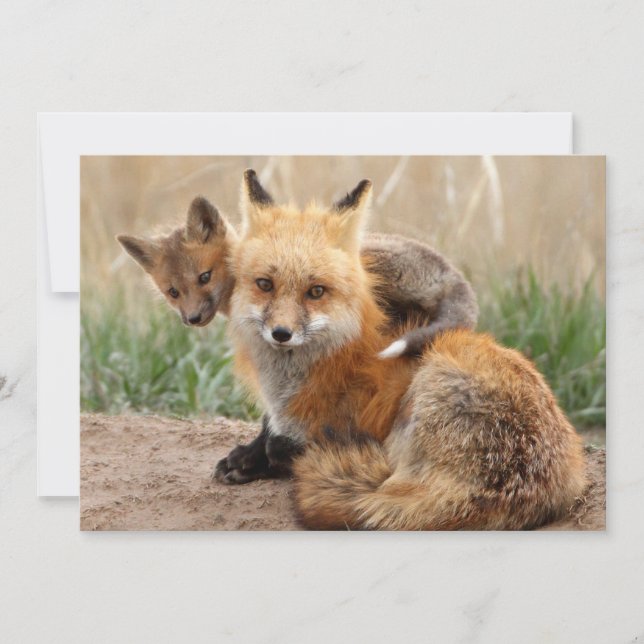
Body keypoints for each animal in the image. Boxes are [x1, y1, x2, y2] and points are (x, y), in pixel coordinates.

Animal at [117, 179, 478, 482]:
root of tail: (452, 272)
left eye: (204, 277)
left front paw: (260, 459)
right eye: (173, 292)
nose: (192, 318)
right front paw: (253, 457)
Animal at [228, 170, 587, 530]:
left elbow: (286, 444)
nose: (281, 334)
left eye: (316, 291)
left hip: (427, 386)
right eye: (265, 285)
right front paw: (246, 458)